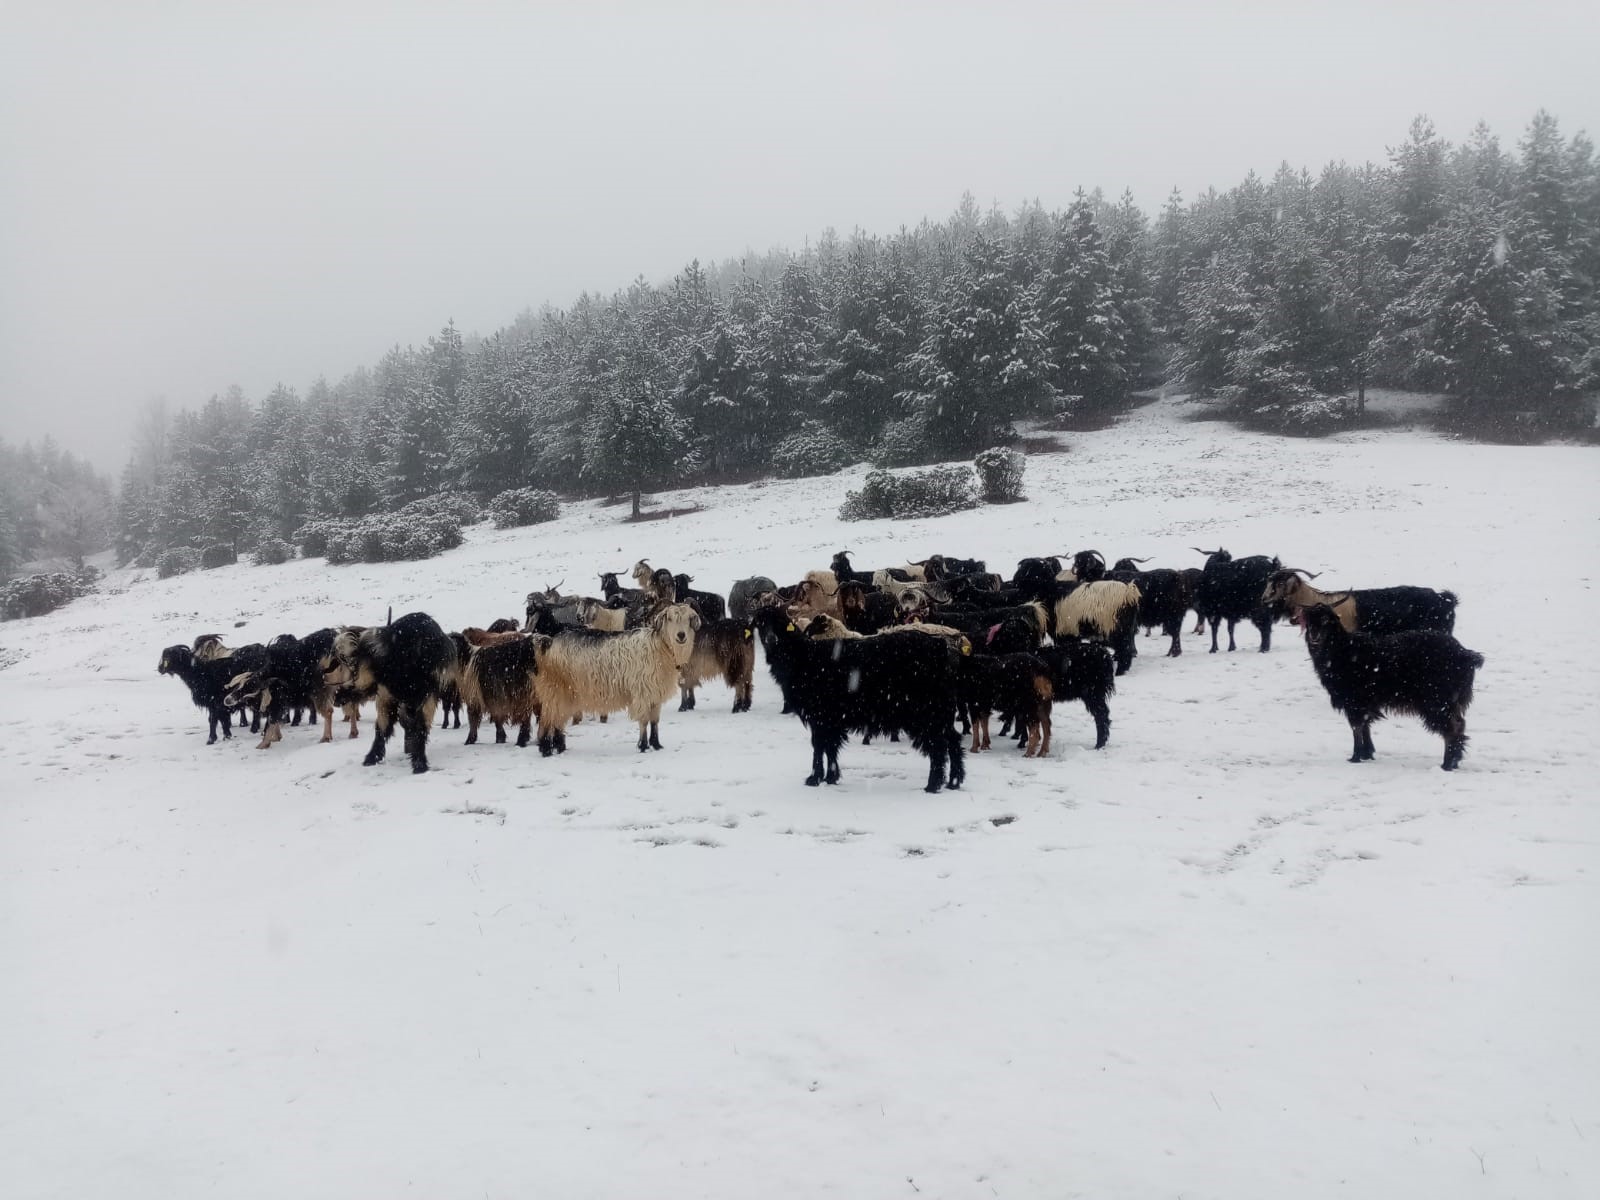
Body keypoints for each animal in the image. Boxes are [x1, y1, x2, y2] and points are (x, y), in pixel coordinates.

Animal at [752, 604, 960, 793]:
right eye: (760, 623)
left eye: (779, 622)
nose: (770, 639)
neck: (802, 657)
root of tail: (940, 647)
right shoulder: (830, 717)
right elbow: (830, 746)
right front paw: (831, 777)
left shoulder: (819, 714)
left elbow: (819, 744)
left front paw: (814, 778)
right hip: (939, 710)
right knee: (952, 739)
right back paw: (954, 782)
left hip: (926, 710)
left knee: (938, 746)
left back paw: (933, 785)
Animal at [1292, 604, 1478, 774]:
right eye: (1309, 621)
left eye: (1325, 620)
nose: (1314, 635)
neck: (1342, 651)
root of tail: (1466, 655)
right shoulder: (1364, 703)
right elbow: (1365, 725)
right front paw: (1367, 754)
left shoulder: (1354, 701)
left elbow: (1356, 728)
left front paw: (1355, 757)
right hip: (1450, 701)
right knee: (1460, 725)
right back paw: (1455, 760)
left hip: (1437, 701)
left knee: (1451, 729)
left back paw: (1447, 764)